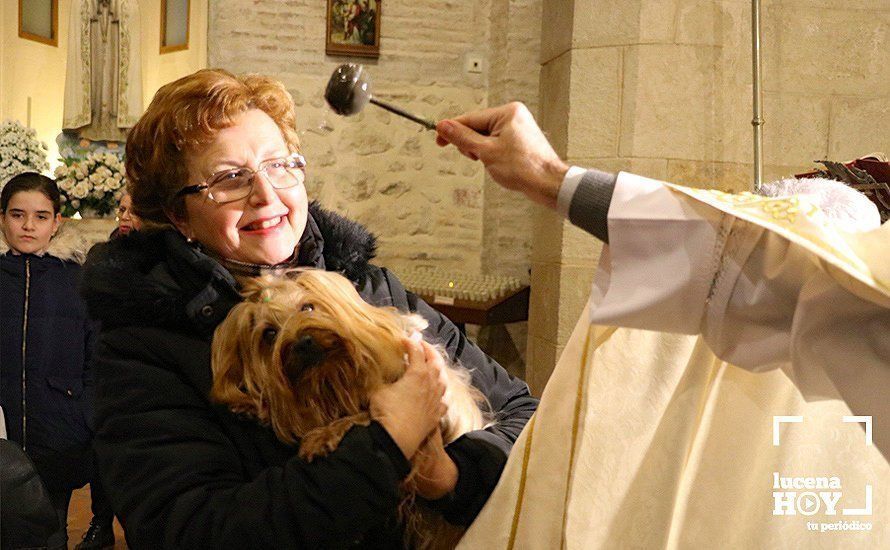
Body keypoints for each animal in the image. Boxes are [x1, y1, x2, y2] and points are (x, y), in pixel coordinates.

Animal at [211, 270, 490, 548]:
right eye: (269, 333)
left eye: (307, 307)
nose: (302, 342)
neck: (333, 373)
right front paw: (252, 405)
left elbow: (365, 412)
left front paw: (324, 435)